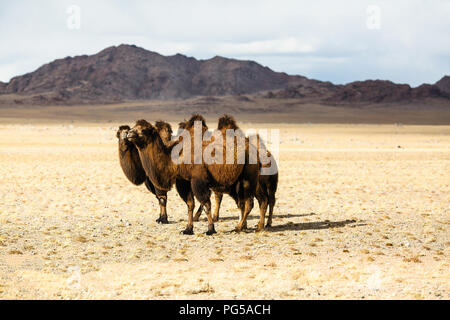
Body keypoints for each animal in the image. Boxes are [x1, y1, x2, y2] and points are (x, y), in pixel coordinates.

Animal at [126, 115, 258, 235]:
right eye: (134, 127)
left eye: (144, 130)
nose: (129, 133)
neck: (176, 157)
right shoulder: (183, 181)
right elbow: (190, 204)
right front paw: (188, 229)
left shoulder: (197, 180)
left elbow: (206, 204)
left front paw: (210, 230)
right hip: (235, 181)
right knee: (241, 202)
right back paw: (242, 226)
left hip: (247, 177)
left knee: (248, 203)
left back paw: (238, 228)